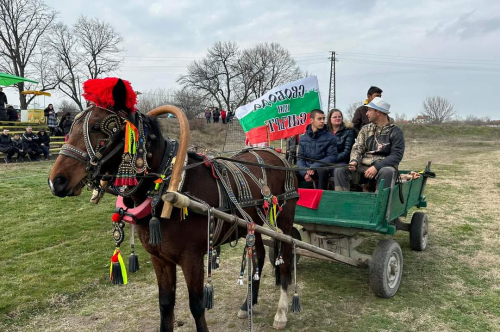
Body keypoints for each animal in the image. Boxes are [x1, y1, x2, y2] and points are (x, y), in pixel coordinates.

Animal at [47, 78, 296, 332]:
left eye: (98, 127)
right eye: (71, 127)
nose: (56, 181)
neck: (167, 188)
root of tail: (276, 153)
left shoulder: (191, 258)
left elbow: (197, 305)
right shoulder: (160, 259)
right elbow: (165, 304)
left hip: (284, 222)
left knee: (285, 260)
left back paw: (281, 312)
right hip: (255, 225)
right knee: (259, 256)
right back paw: (248, 303)